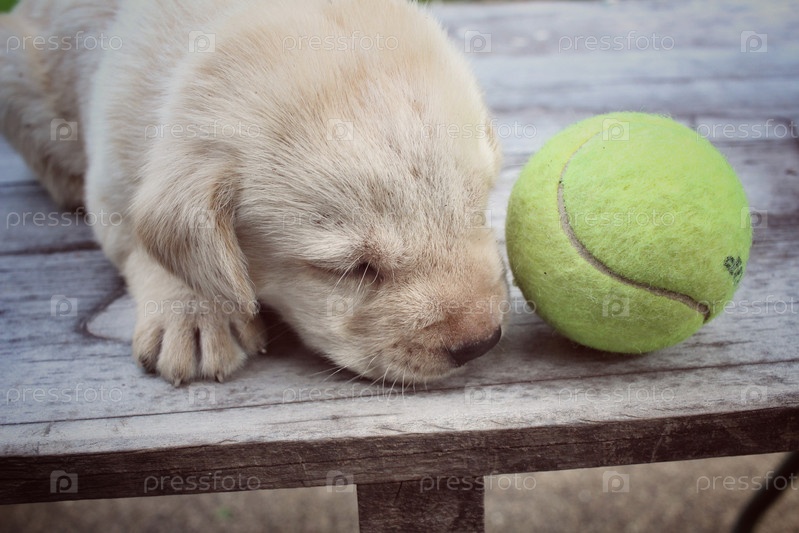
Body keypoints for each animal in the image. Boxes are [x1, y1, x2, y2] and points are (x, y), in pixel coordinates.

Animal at [0, 0, 508, 385]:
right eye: (351, 269)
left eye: (477, 210)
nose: (481, 342)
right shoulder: (111, 173)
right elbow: (141, 242)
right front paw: (195, 313)